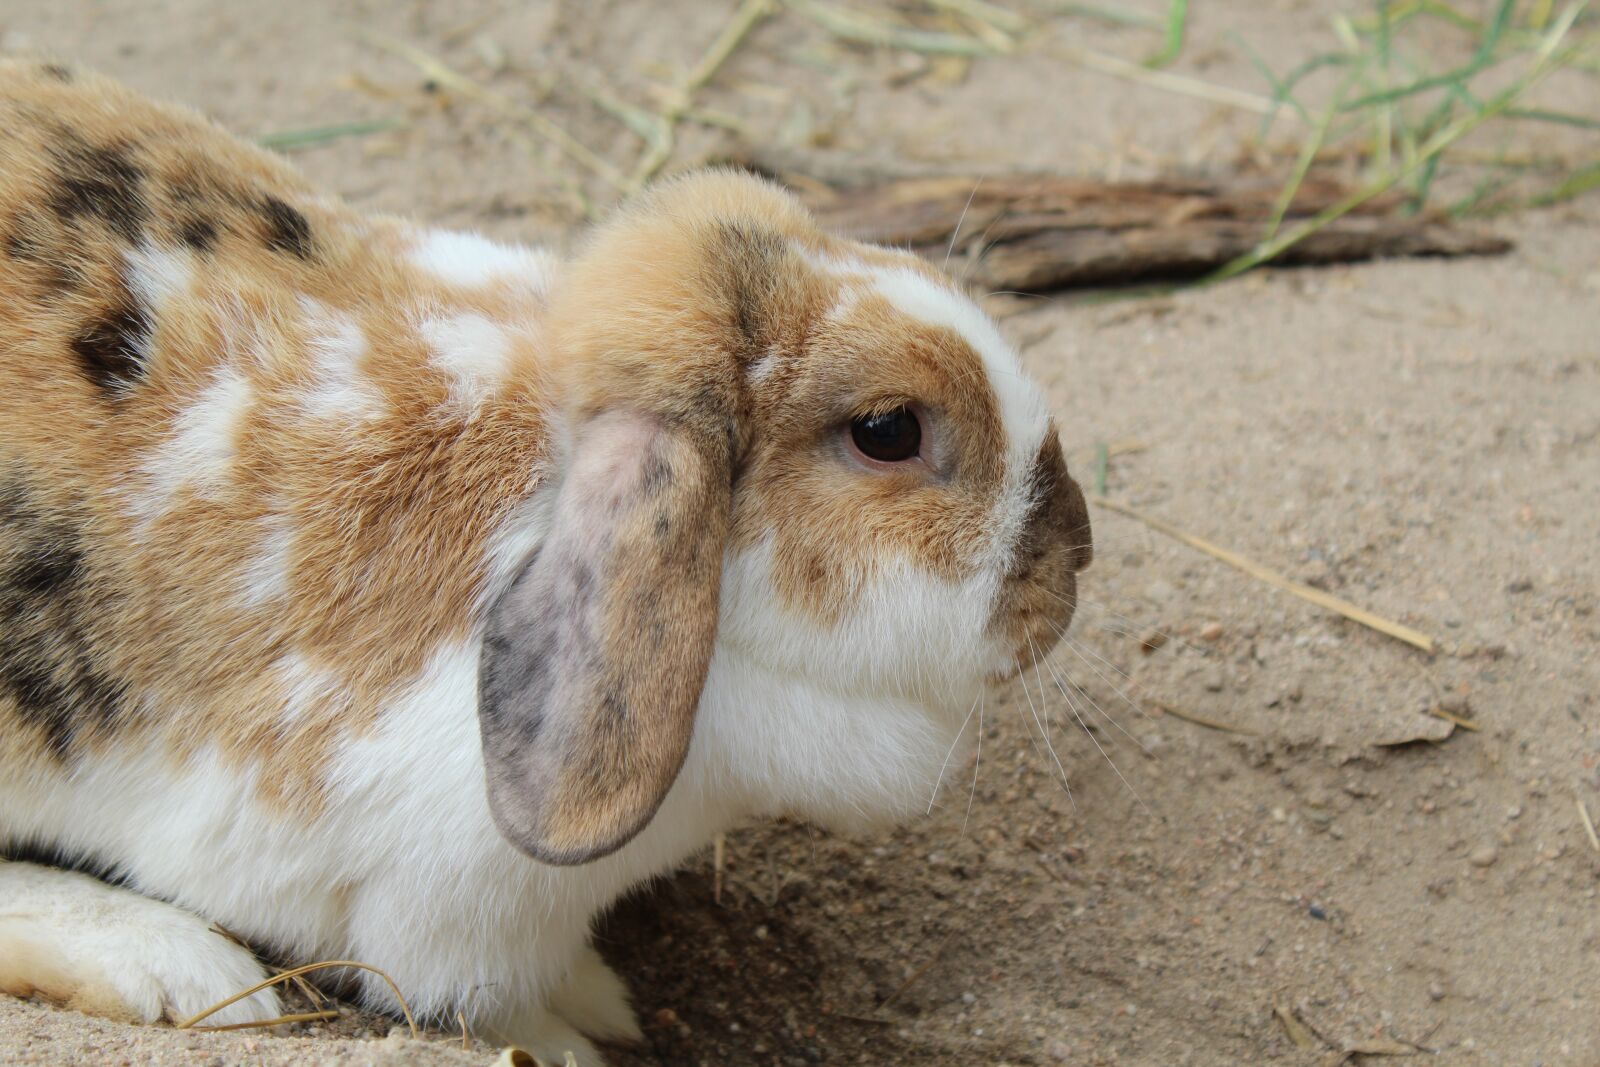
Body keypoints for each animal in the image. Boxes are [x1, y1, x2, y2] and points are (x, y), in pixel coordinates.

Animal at [0, 60, 1092, 1064]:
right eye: (888, 430)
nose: (1076, 552)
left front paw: (600, 1002)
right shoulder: (454, 904)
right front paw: (570, 1036)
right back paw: (176, 966)